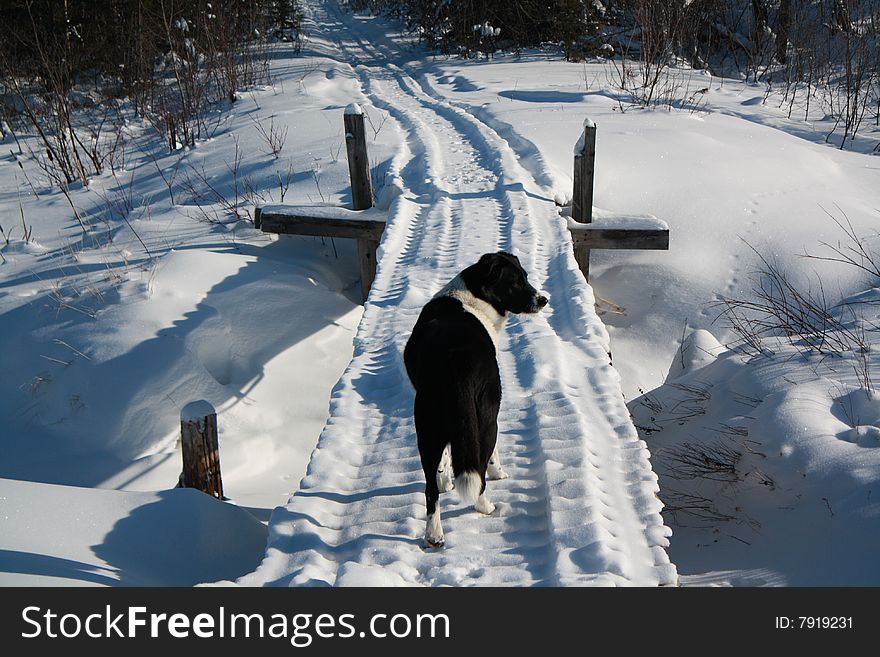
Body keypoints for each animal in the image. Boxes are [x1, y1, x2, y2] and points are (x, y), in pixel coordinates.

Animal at [404, 252, 544, 548]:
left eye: (525, 276)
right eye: (516, 281)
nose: (543, 300)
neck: (474, 295)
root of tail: (456, 361)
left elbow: (446, 460)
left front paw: (446, 480)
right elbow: (491, 458)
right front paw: (499, 473)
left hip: (428, 429)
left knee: (430, 491)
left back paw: (434, 536)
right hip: (486, 421)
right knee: (479, 472)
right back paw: (486, 506)